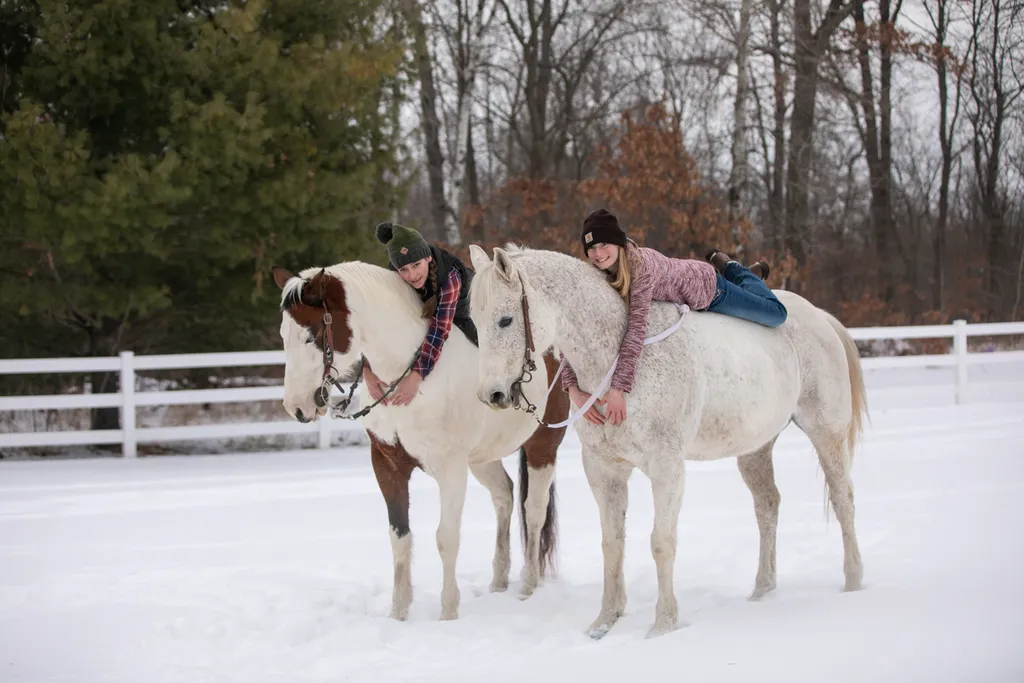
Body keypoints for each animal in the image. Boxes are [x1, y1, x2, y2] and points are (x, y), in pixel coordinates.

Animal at [270, 261, 570, 621]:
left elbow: (446, 538)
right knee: (504, 496)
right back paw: (499, 580)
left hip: (543, 447)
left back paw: (528, 585)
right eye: (284, 336)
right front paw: (398, 613)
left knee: (534, 510)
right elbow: (399, 536)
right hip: (483, 458)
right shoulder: (387, 464)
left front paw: (448, 612)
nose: (296, 407)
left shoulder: (451, 468)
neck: (412, 376)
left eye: (311, 335)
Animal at [467, 244, 868, 639]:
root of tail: (819, 317)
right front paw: (605, 621)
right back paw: (762, 590)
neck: (615, 360)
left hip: (826, 431)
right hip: (755, 449)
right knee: (768, 505)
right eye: (474, 320)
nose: (493, 395)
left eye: (506, 320)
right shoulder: (603, 469)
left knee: (843, 499)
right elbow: (612, 543)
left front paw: (663, 625)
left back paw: (853, 582)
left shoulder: (666, 467)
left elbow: (661, 542)